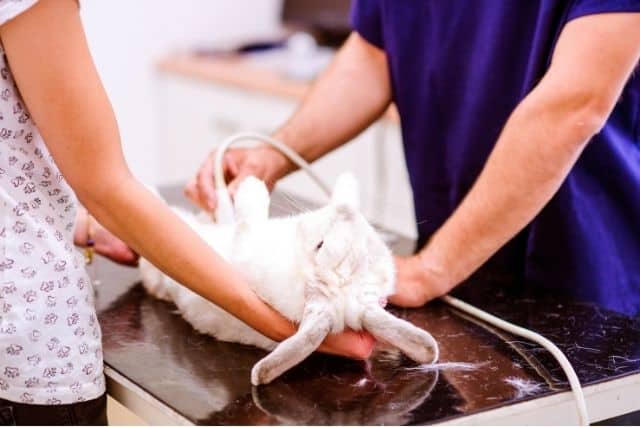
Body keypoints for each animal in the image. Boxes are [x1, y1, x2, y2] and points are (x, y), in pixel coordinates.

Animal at [139, 172, 440, 386]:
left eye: (320, 245)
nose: (345, 209)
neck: (296, 261)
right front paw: (346, 183)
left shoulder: (247, 242)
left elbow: (248, 215)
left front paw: (251, 185)